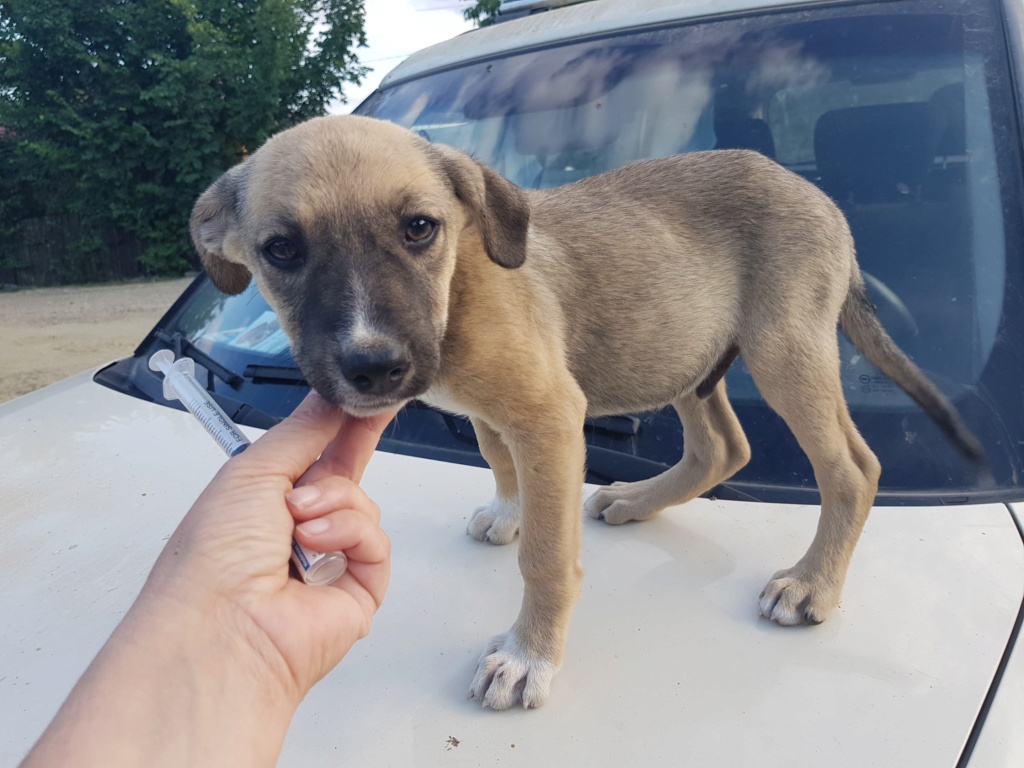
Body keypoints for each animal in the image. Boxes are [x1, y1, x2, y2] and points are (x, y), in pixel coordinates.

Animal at [192, 112, 983, 708]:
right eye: (280, 250)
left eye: (419, 227)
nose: (373, 366)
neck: (461, 289)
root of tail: (818, 197)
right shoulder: (495, 412)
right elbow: (496, 457)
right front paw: (508, 512)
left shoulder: (549, 414)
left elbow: (546, 555)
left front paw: (527, 655)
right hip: (686, 351)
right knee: (723, 448)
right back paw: (636, 499)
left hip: (783, 348)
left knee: (852, 467)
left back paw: (812, 583)